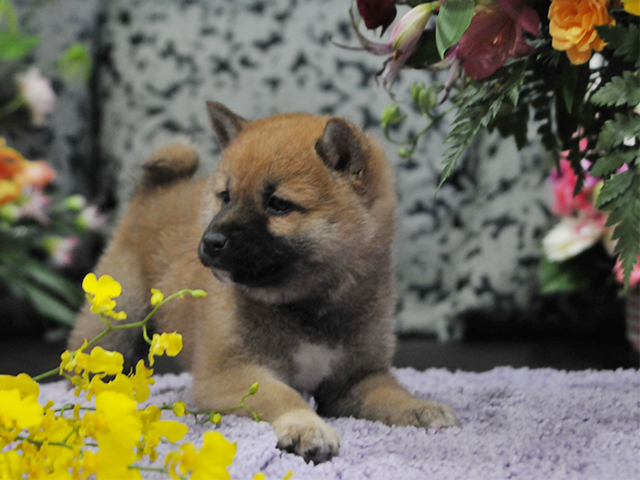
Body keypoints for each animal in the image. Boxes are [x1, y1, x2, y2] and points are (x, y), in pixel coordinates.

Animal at [70, 103, 458, 464]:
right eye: (225, 197)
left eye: (278, 204)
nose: (210, 241)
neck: (307, 305)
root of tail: (153, 191)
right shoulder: (230, 373)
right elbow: (281, 395)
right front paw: (305, 426)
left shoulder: (356, 378)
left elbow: (389, 393)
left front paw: (419, 407)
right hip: (116, 323)